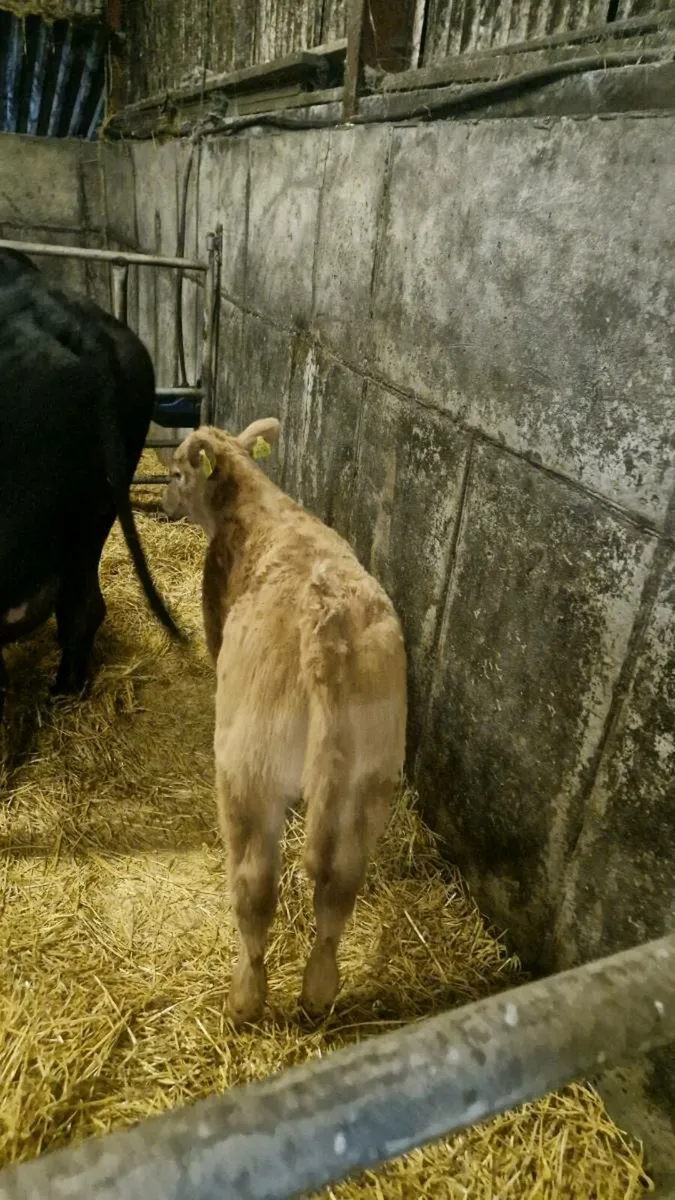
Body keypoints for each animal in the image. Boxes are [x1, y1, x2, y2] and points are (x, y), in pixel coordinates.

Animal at [162, 419, 407, 1024]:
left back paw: (244, 999)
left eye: (175, 474)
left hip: (249, 767)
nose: (160, 503)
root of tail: (327, 621)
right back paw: (318, 992)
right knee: (340, 884)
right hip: (373, 774)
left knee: (254, 887)